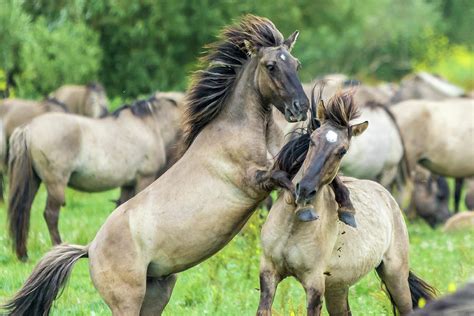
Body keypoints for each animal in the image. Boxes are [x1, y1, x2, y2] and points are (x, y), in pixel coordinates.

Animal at [7, 94, 181, 262]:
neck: (148, 126)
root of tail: (28, 128)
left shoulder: (127, 184)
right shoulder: (144, 178)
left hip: (34, 182)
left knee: (24, 211)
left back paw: (23, 255)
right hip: (55, 184)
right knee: (50, 214)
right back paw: (56, 246)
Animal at [258, 90, 436, 316]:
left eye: (342, 151)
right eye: (312, 140)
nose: (304, 190)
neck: (292, 227)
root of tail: (386, 196)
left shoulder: (314, 283)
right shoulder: (268, 272)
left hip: (395, 276)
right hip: (337, 287)